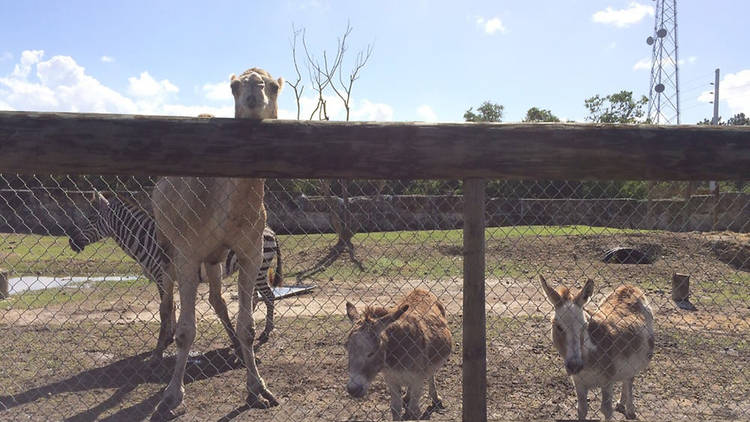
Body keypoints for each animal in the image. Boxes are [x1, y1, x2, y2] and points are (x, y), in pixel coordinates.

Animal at [69, 191, 284, 360]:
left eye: (90, 218)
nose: (71, 242)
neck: (148, 240)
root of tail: (270, 230)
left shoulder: (162, 276)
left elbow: (165, 309)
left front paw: (162, 344)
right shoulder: (164, 279)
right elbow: (170, 307)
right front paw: (169, 337)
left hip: (259, 269)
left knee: (269, 296)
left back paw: (266, 331)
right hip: (253, 270)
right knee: (257, 297)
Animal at [151, 67, 284, 418]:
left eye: (274, 87)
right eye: (235, 86)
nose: (253, 93)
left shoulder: (250, 251)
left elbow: (248, 326)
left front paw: (259, 389)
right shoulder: (187, 252)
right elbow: (186, 332)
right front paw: (171, 397)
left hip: (213, 259)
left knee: (216, 298)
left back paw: (234, 347)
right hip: (167, 248)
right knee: (167, 300)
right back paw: (158, 351)